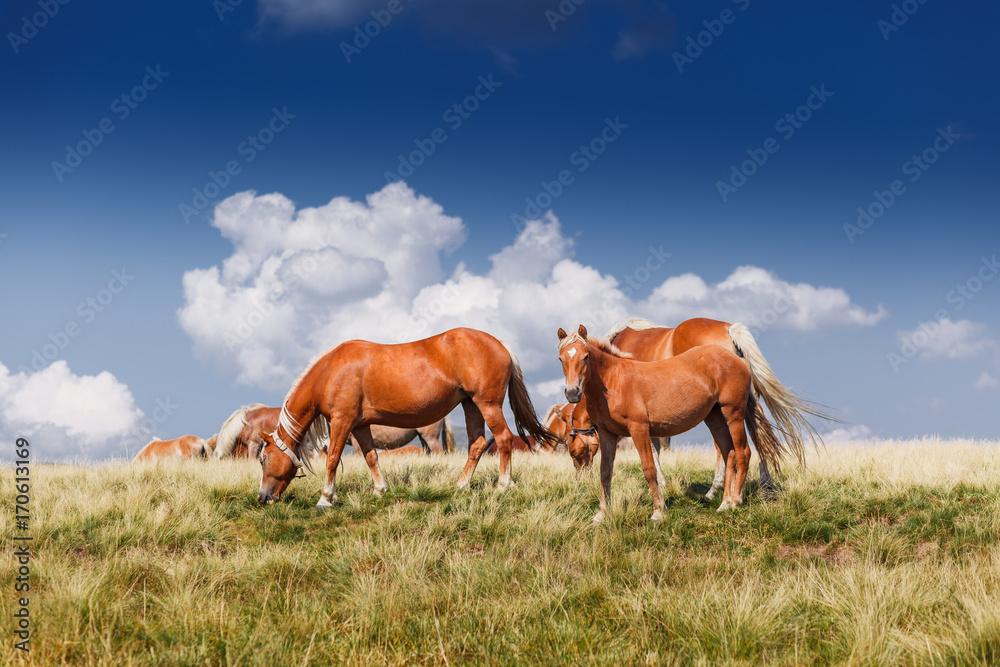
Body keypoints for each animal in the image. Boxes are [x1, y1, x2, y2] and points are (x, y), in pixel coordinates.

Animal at [253, 328, 557, 506]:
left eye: (264, 459)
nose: (262, 497)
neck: (330, 371)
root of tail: (500, 343)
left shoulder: (342, 421)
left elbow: (332, 459)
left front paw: (326, 497)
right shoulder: (360, 426)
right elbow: (371, 457)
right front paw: (380, 489)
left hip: (488, 404)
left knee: (503, 438)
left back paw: (503, 485)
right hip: (471, 405)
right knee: (478, 444)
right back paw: (461, 485)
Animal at [558, 325, 785, 522]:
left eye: (586, 357)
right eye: (561, 359)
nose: (572, 393)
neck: (615, 381)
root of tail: (737, 359)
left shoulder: (639, 430)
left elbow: (649, 469)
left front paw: (658, 511)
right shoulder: (607, 434)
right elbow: (605, 471)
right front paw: (601, 514)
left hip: (733, 414)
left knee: (742, 452)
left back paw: (736, 501)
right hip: (715, 419)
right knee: (728, 453)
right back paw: (724, 503)